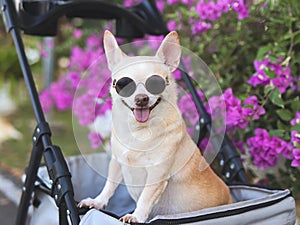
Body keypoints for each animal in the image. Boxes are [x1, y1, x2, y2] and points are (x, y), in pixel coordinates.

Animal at [78, 30, 231, 223]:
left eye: (156, 83)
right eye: (122, 84)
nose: (141, 98)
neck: (138, 132)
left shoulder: (157, 174)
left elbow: (145, 197)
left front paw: (136, 216)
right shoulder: (117, 162)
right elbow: (110, 185)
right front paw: (97, 201)